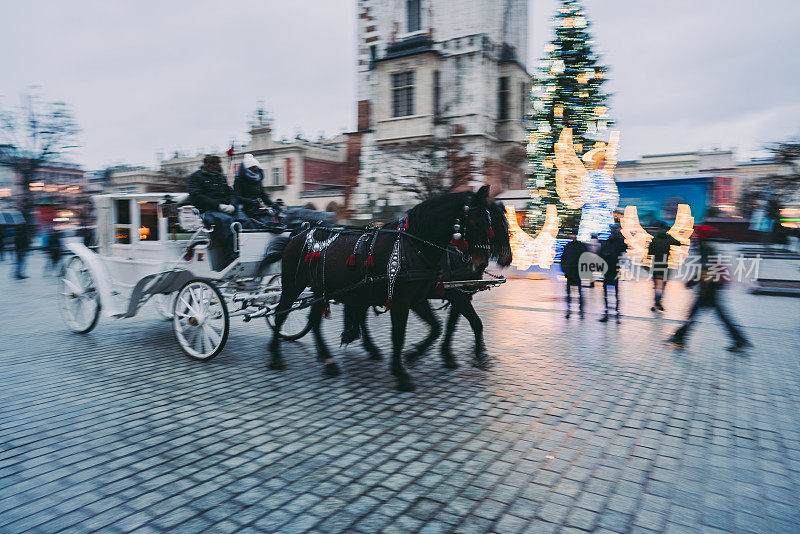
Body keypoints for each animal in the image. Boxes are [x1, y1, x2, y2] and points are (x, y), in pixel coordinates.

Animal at [268, 186, 494, 392]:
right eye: (476, 221)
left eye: (490, 223)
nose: (480, 263)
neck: (413, 245)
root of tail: (297, 235)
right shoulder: (404, 300)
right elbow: (399, 334)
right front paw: (401, 373)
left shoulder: (420, 299)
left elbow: (437, 327)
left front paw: (414, 355)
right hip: (294, 285)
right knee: (281, 313)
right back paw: (276, 357)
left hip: (322, 290)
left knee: (315, 321)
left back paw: (329, 360)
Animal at [344, 200, 512, 368]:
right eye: (495, 223)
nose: (508, 259)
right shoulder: (456, 296)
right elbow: (472, 323)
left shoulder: (459, 296)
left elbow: (451, 326)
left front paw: (447, 354)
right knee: (361, 317)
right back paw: (371, 348)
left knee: (360, 315)